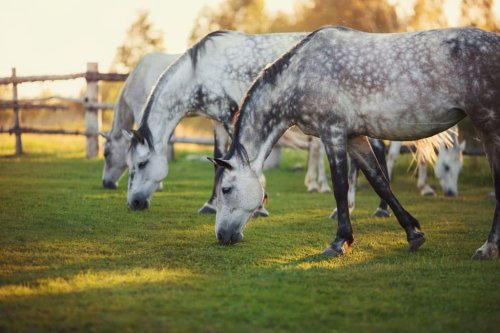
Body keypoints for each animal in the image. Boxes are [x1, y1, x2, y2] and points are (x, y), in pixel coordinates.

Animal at [210, 26, 500, 260]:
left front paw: (340, 242)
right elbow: (380, 182)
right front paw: (413, 233)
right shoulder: (355, 138)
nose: (221, 236)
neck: (299, 75)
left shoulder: (333, 133)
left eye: (226, 189)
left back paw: (487, 248)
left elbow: (340, 187)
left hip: (489, 125)